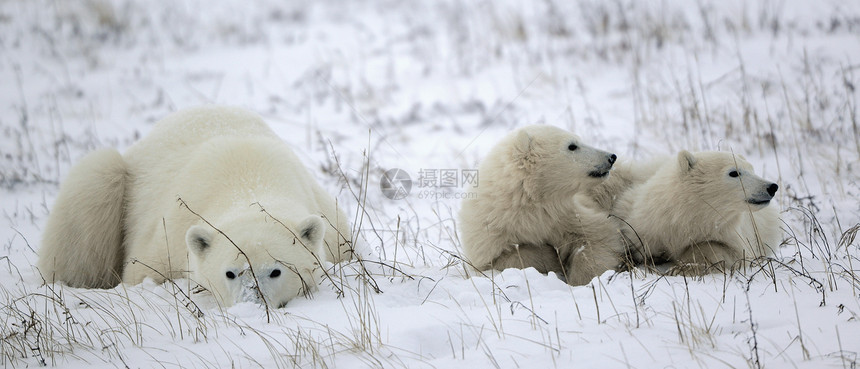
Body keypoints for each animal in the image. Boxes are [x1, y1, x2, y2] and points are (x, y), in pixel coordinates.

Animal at [38, 106, 354, 308]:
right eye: (230, 273)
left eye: (276, 271)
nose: (252, 304)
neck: (249, 179)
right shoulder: (168, 237)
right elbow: (143, 273)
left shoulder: (334, 229)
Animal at [456, 124, 624, 284]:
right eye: (572, 146)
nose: (611, 157)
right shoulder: (490, 232)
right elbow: (504, 259)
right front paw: (549, 257)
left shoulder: (567, 215)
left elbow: (598, 236)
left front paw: (585, 280)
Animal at [608, 150, 784, 274]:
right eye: (734, 172)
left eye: (752, 169)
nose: (772, 187)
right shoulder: (643, 226)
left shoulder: (732, 234)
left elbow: (721, 250)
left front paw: (680, 268)